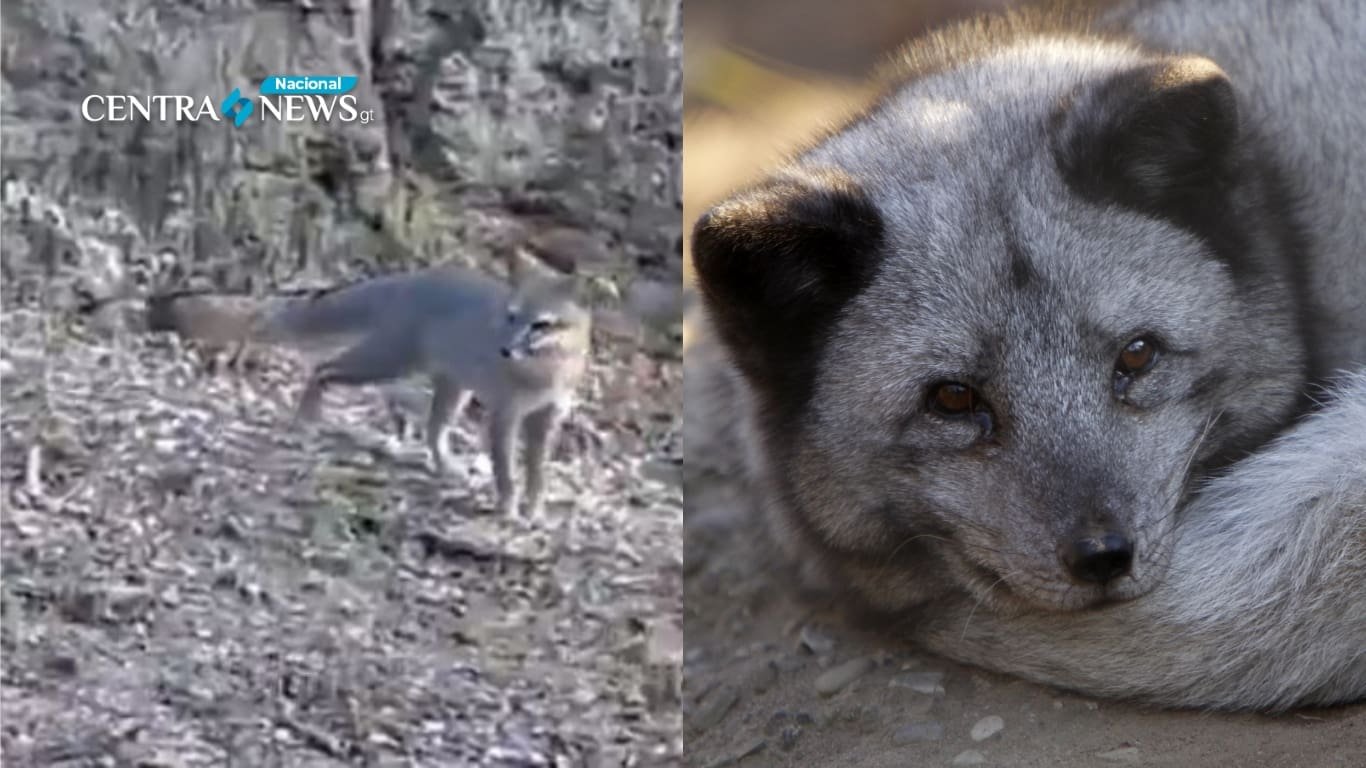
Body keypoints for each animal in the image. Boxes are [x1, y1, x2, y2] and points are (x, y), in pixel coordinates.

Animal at [148, 263, 592, 518]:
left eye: (541, 324)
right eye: (512, 317)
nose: (504, 349)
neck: (546, 373)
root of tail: (411, 275)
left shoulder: (546, 417)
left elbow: (537, 473)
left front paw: (534, 510)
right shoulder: (504, 416)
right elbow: (507, 472)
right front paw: (510, 509)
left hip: (450, 387)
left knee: (433, 432)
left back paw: (445, 467)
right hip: (385, 362)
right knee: (322, 369)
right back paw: (306, 420)